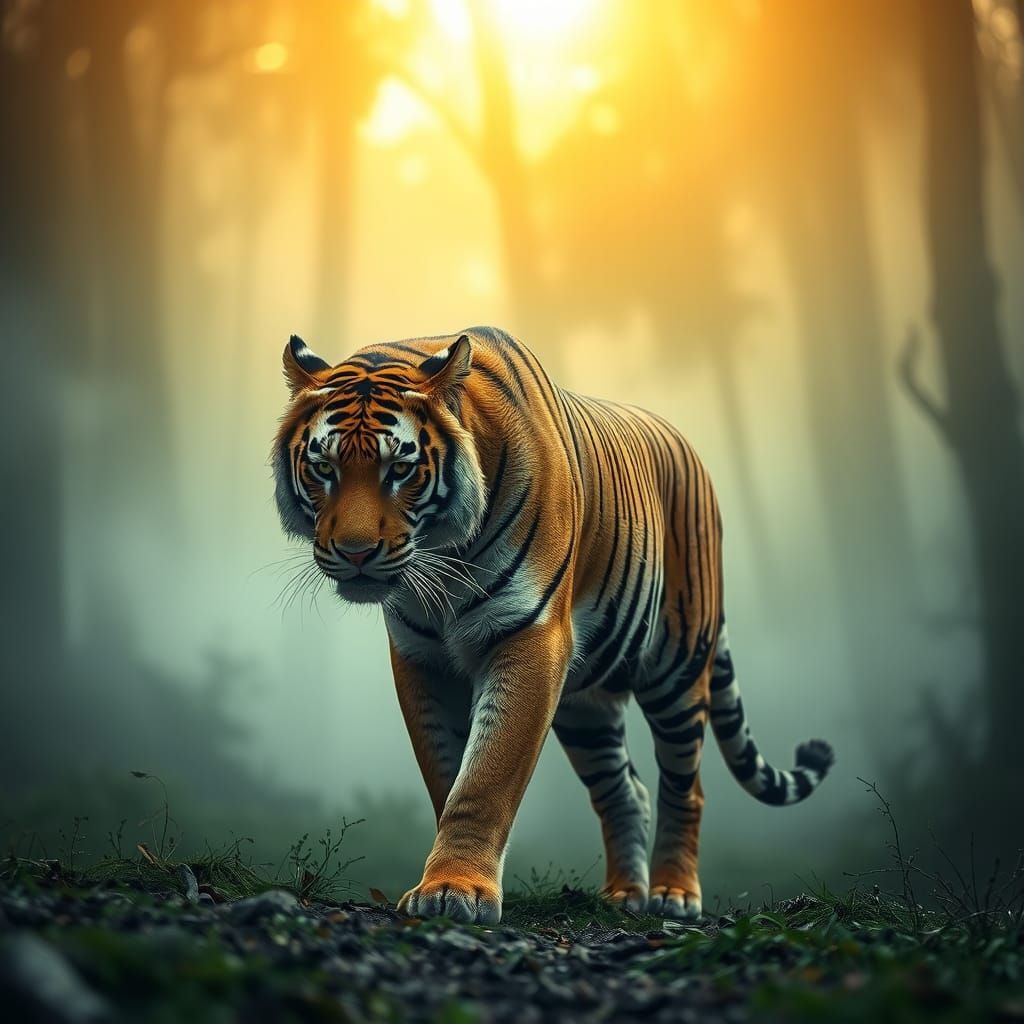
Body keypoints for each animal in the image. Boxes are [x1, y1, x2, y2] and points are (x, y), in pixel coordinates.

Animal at [272, 325, 834, 924]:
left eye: (399, 469)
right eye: (324, 468)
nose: (355, 553)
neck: (443, 555)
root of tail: (692, 452)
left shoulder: (527, 634)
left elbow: (486, 776)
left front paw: (456, 889)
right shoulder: (421, 657)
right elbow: (447, 772)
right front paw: (445, 881)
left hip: (677, 669)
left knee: (686, 786)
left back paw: (673, 894)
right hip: (584, 704)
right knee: (624, 789)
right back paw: (624, 896)